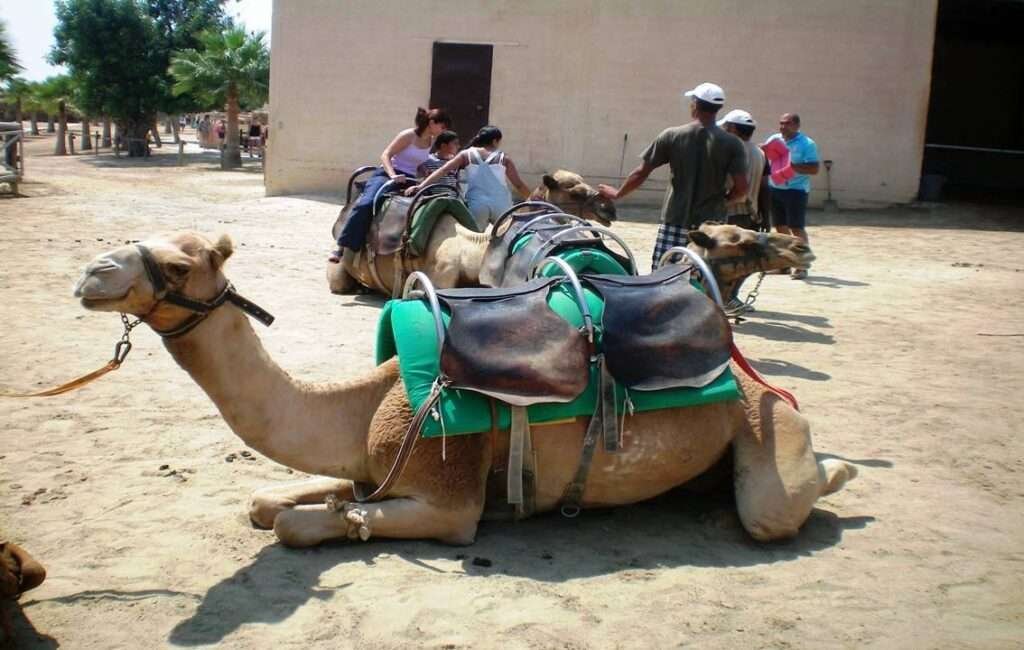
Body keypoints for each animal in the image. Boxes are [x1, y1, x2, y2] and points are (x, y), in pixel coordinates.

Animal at [75, 231, 856, 548]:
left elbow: (301, 524)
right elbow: (271, 502)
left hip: (764, 425)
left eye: (180, 264)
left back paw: (841, 469)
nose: (91, 274)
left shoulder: (448, 500)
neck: (367, 402)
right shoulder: (370, 468)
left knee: (774, 507)